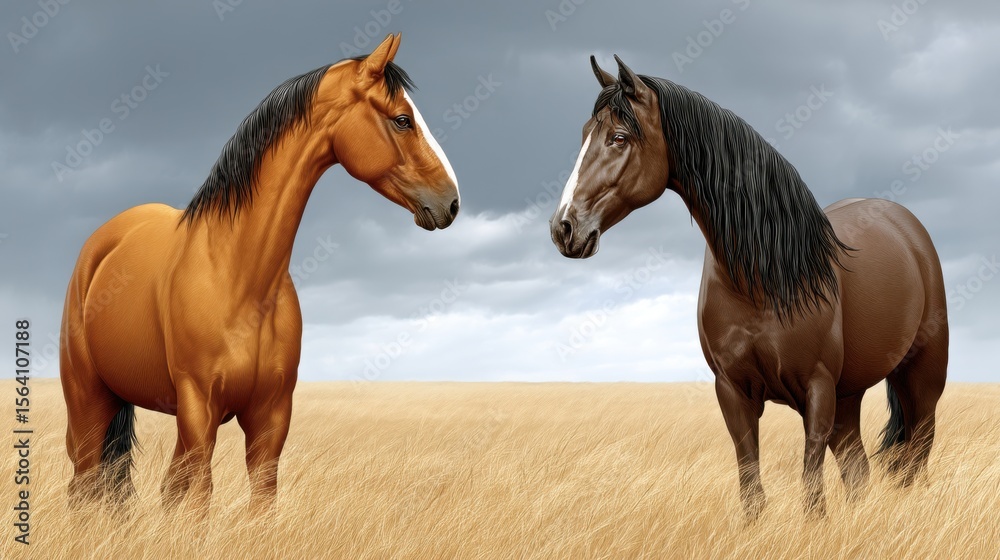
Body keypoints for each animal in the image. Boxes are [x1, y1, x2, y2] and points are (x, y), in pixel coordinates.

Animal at [59, 33, 460, 514]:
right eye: (402, 120)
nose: (451, 201)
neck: (240, 277)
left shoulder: (271, 416)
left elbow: (261, 499)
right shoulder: (198, 407)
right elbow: (200, 500)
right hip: (89, 401)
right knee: (84, 485)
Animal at [550, 55, 948, 518]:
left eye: (618, 137)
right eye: (584, 135)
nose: (564, 228)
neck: (762, 278)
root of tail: (906, 226)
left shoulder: (817, 391)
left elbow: (812, 496)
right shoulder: (734, 394)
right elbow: (752, 492)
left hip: (919, 381)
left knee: (914, 461)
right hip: (849, 397)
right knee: (858, 474)